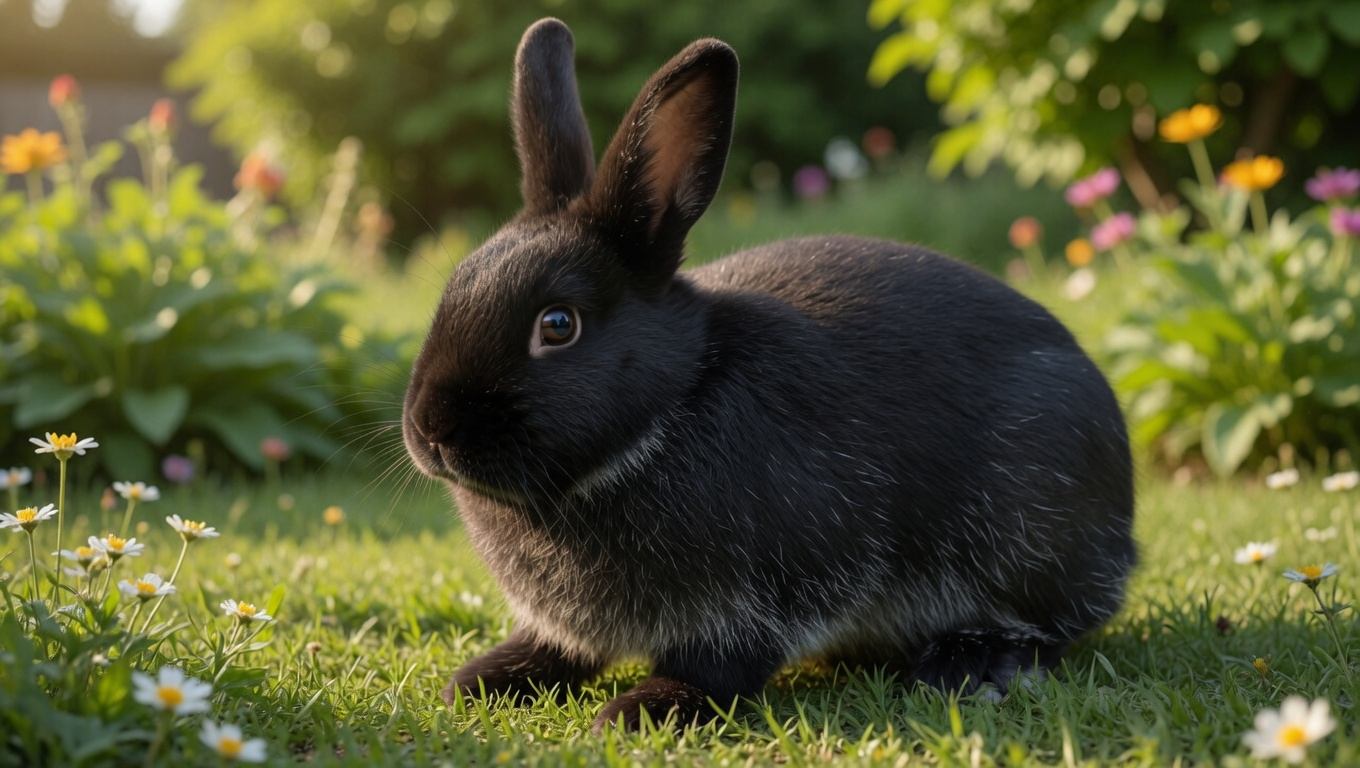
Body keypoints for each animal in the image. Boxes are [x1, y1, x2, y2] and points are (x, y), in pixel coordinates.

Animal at [402, 17, 1136, 733]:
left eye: (558, 325)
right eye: (455, 286)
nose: (431, 431)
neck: (673, 404)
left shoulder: (774, 585)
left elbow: (723, 661)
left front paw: (647, 708)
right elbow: (563, 646)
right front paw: (486, 680)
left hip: (1029, 528)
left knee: (1051, 623)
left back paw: (974, 663)